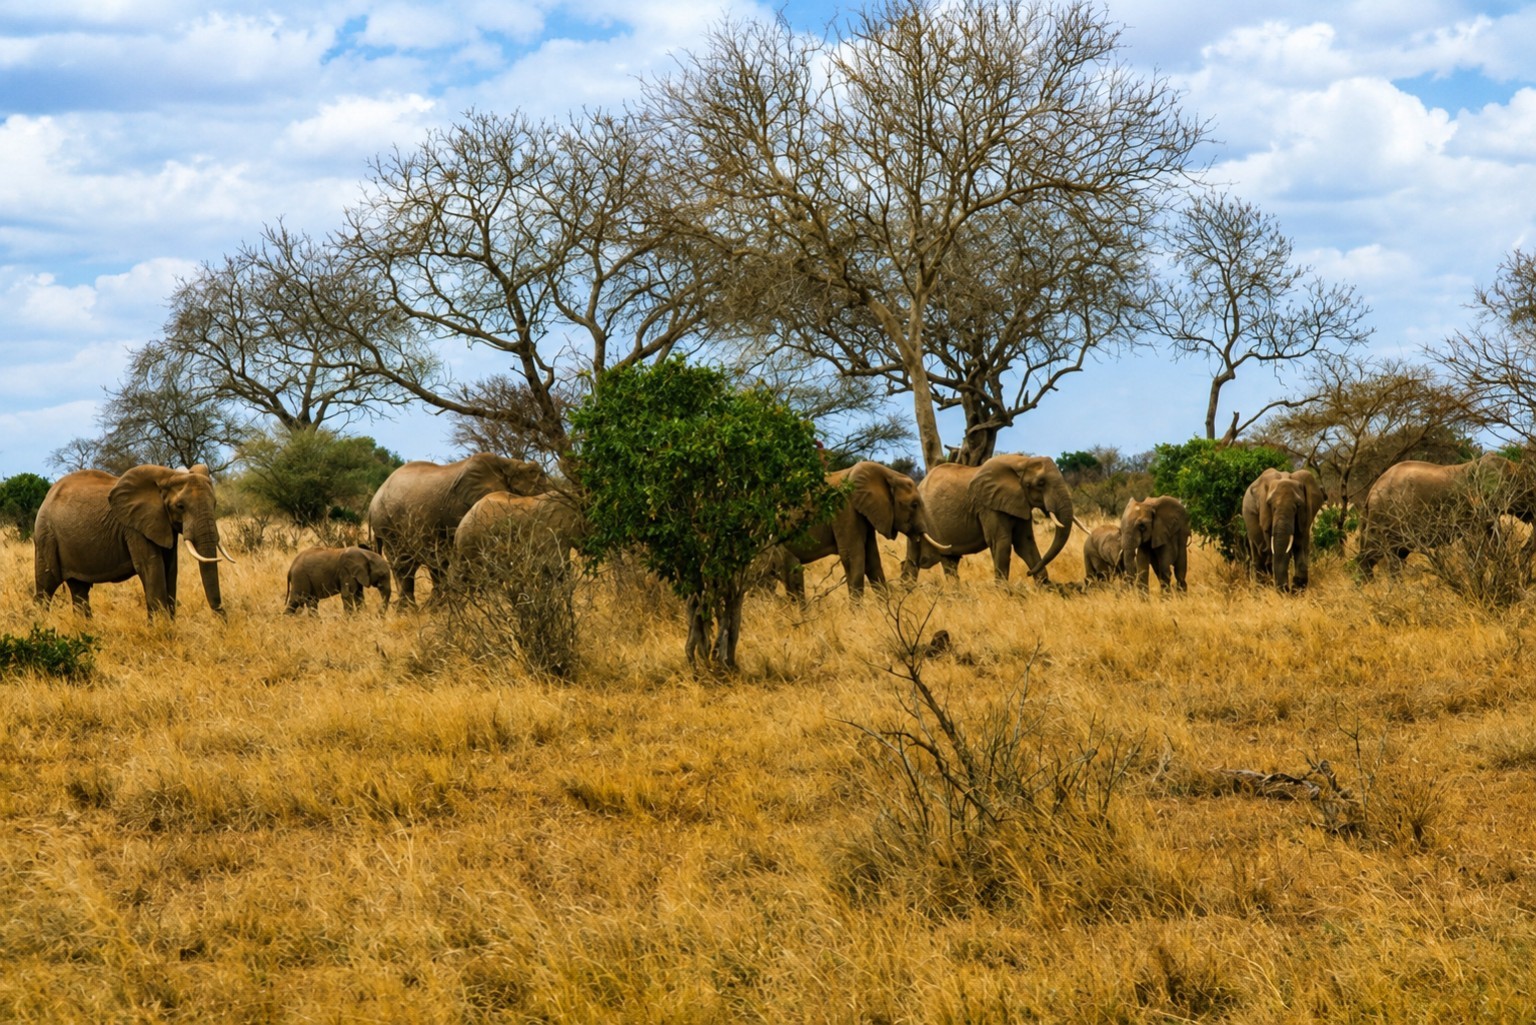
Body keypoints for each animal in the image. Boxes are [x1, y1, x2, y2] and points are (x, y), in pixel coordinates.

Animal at [33, 464, 234, 618]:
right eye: (180, 506)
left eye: (215, 504)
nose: (220, 619)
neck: (167, 477)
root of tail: (46, 497)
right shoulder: (134, 527)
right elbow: (151, 567)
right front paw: (161, 631)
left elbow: (170, 568)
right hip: (46, 536)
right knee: (46, 588)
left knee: (79, 590)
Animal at [366, 453, 548, 606]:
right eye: (536, 479)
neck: (508, 464)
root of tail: (372, 502)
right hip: (387, 524)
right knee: (404, 564)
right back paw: (411, 610)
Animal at [773, 460, 946, 599]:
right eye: (914, 505)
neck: (888, 474)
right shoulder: (844, 509)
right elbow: (853, 556)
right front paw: (857, 614)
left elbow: (872, 559)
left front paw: (885, 608)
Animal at [903, 454, 1075, 583]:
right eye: (1041, 483)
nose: (1028, 573)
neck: (1022, 462)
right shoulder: (987, 506)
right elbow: (1001, 542)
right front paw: (1003, 592)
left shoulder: (1020, 503)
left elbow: (1025, 542)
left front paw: (1044, 586)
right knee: (935, 560)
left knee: (944, 561)